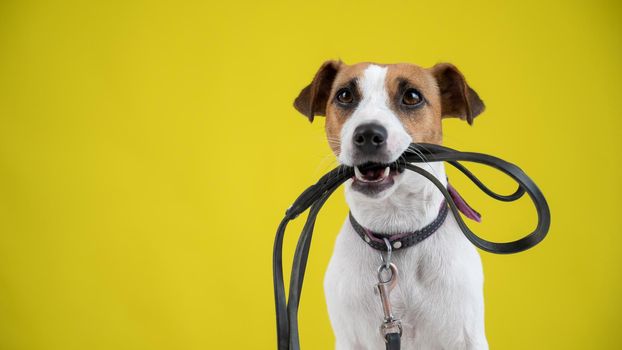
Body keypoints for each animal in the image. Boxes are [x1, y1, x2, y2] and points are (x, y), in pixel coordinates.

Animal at [294, 61, 490, 348]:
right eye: (344, 95)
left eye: (412, 96)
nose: (367, 134)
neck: (394, 231)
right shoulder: (348, 339)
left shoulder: (467, 336)